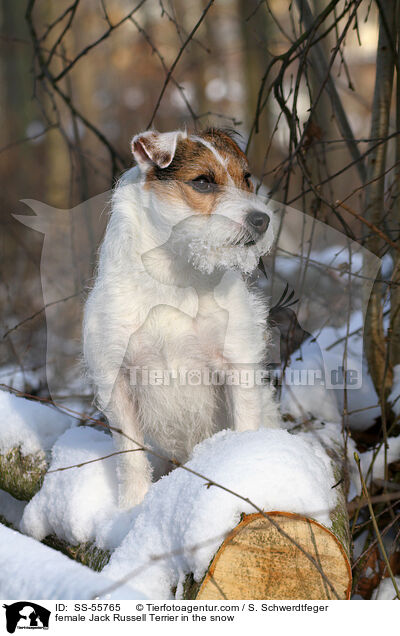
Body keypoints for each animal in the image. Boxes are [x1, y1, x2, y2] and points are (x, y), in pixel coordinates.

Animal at [83, 126, 280, 510]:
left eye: (246, 178)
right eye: (202, 182)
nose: (261, 220)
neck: (173, 277)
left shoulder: (237, 366)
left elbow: (245, 425)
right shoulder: (117, 381)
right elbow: (131, 458)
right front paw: (130, 508)